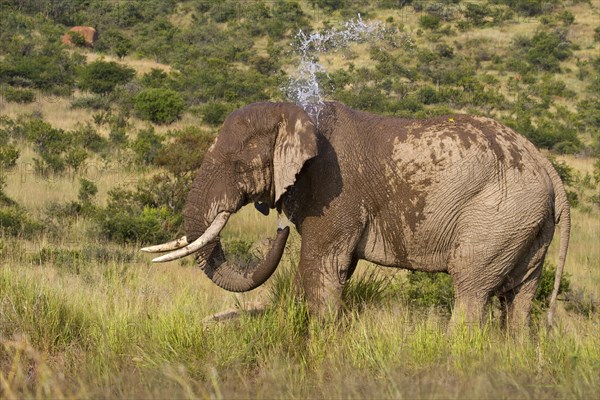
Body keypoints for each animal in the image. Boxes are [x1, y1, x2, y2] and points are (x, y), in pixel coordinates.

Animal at [143, 101, 568, 330]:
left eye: (238, 164)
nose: (280, 226)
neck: (298, 114)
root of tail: (549, 171)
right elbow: (329, 271)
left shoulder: (334, 189)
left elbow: (320, 264)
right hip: (527, 223)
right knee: (519, 296)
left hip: (498, 215)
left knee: (472, 287)